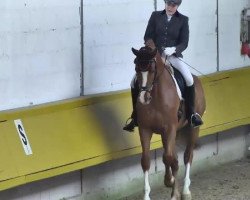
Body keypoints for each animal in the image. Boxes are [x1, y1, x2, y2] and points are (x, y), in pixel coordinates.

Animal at [132, 41, 206, 199]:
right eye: (136, 68)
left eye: (152, 69)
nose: (143, 98)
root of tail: (196, 78)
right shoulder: (145, 129)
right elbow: (147, 160)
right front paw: (149, 194)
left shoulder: (169, 128)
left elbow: (169, 158)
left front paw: (172, 187)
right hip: (172, 132)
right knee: (173, 157)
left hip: (192, 129)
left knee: (187, 156)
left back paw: (185, 191)